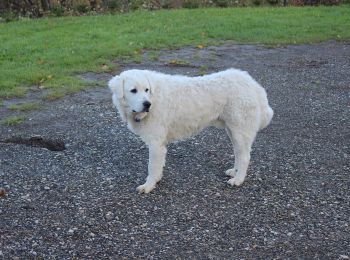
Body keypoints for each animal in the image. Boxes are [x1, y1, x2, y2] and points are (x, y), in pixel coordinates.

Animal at [109, 68, 274, 193]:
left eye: (146, 90)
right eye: (133, 90)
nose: (147, 104)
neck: (154, 97)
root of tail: (252, 83)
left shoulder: (156, 144)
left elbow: (152, 167)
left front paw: (148, 186)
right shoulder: (160, 145)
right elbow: (158, 166)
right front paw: (157, 179)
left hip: (240, 130)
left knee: (245, 157)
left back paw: (238, 180)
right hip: (233, 131)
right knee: (239, 154)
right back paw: (235, 171)